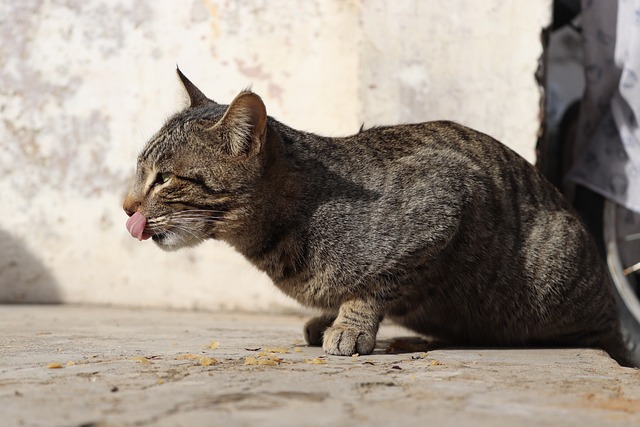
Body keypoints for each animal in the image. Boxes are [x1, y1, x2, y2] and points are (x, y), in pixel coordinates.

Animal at [124, 69, 632, 368]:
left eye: (164, 178)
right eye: (140, 169)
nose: (126, 207)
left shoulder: (446, 196)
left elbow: (374, 285)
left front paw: (349, 326)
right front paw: (330, 318)